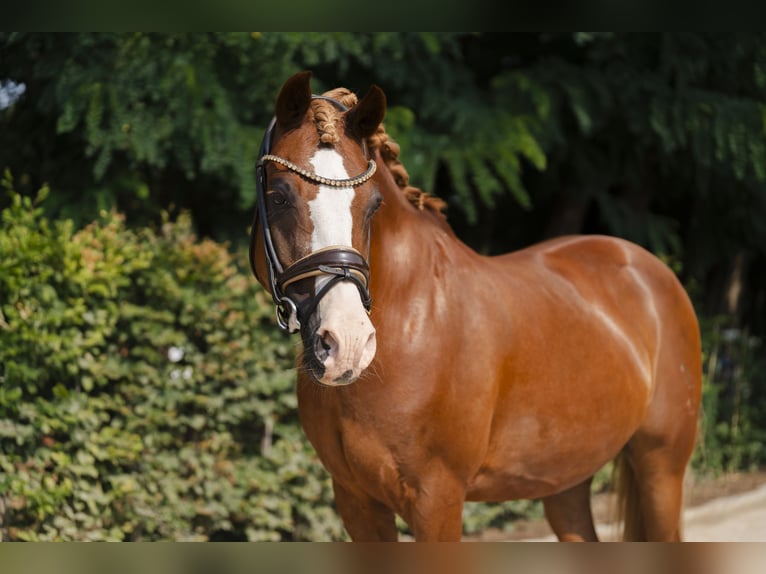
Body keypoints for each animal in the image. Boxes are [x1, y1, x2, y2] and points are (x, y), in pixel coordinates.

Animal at [249, 71, 702, 542]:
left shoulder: (438, 499)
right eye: (279, 196)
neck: (411, 322)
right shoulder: (356, 501)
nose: (348, 344)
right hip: (566, 481)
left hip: (661, 467)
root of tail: (648, 266)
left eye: (373, 204)